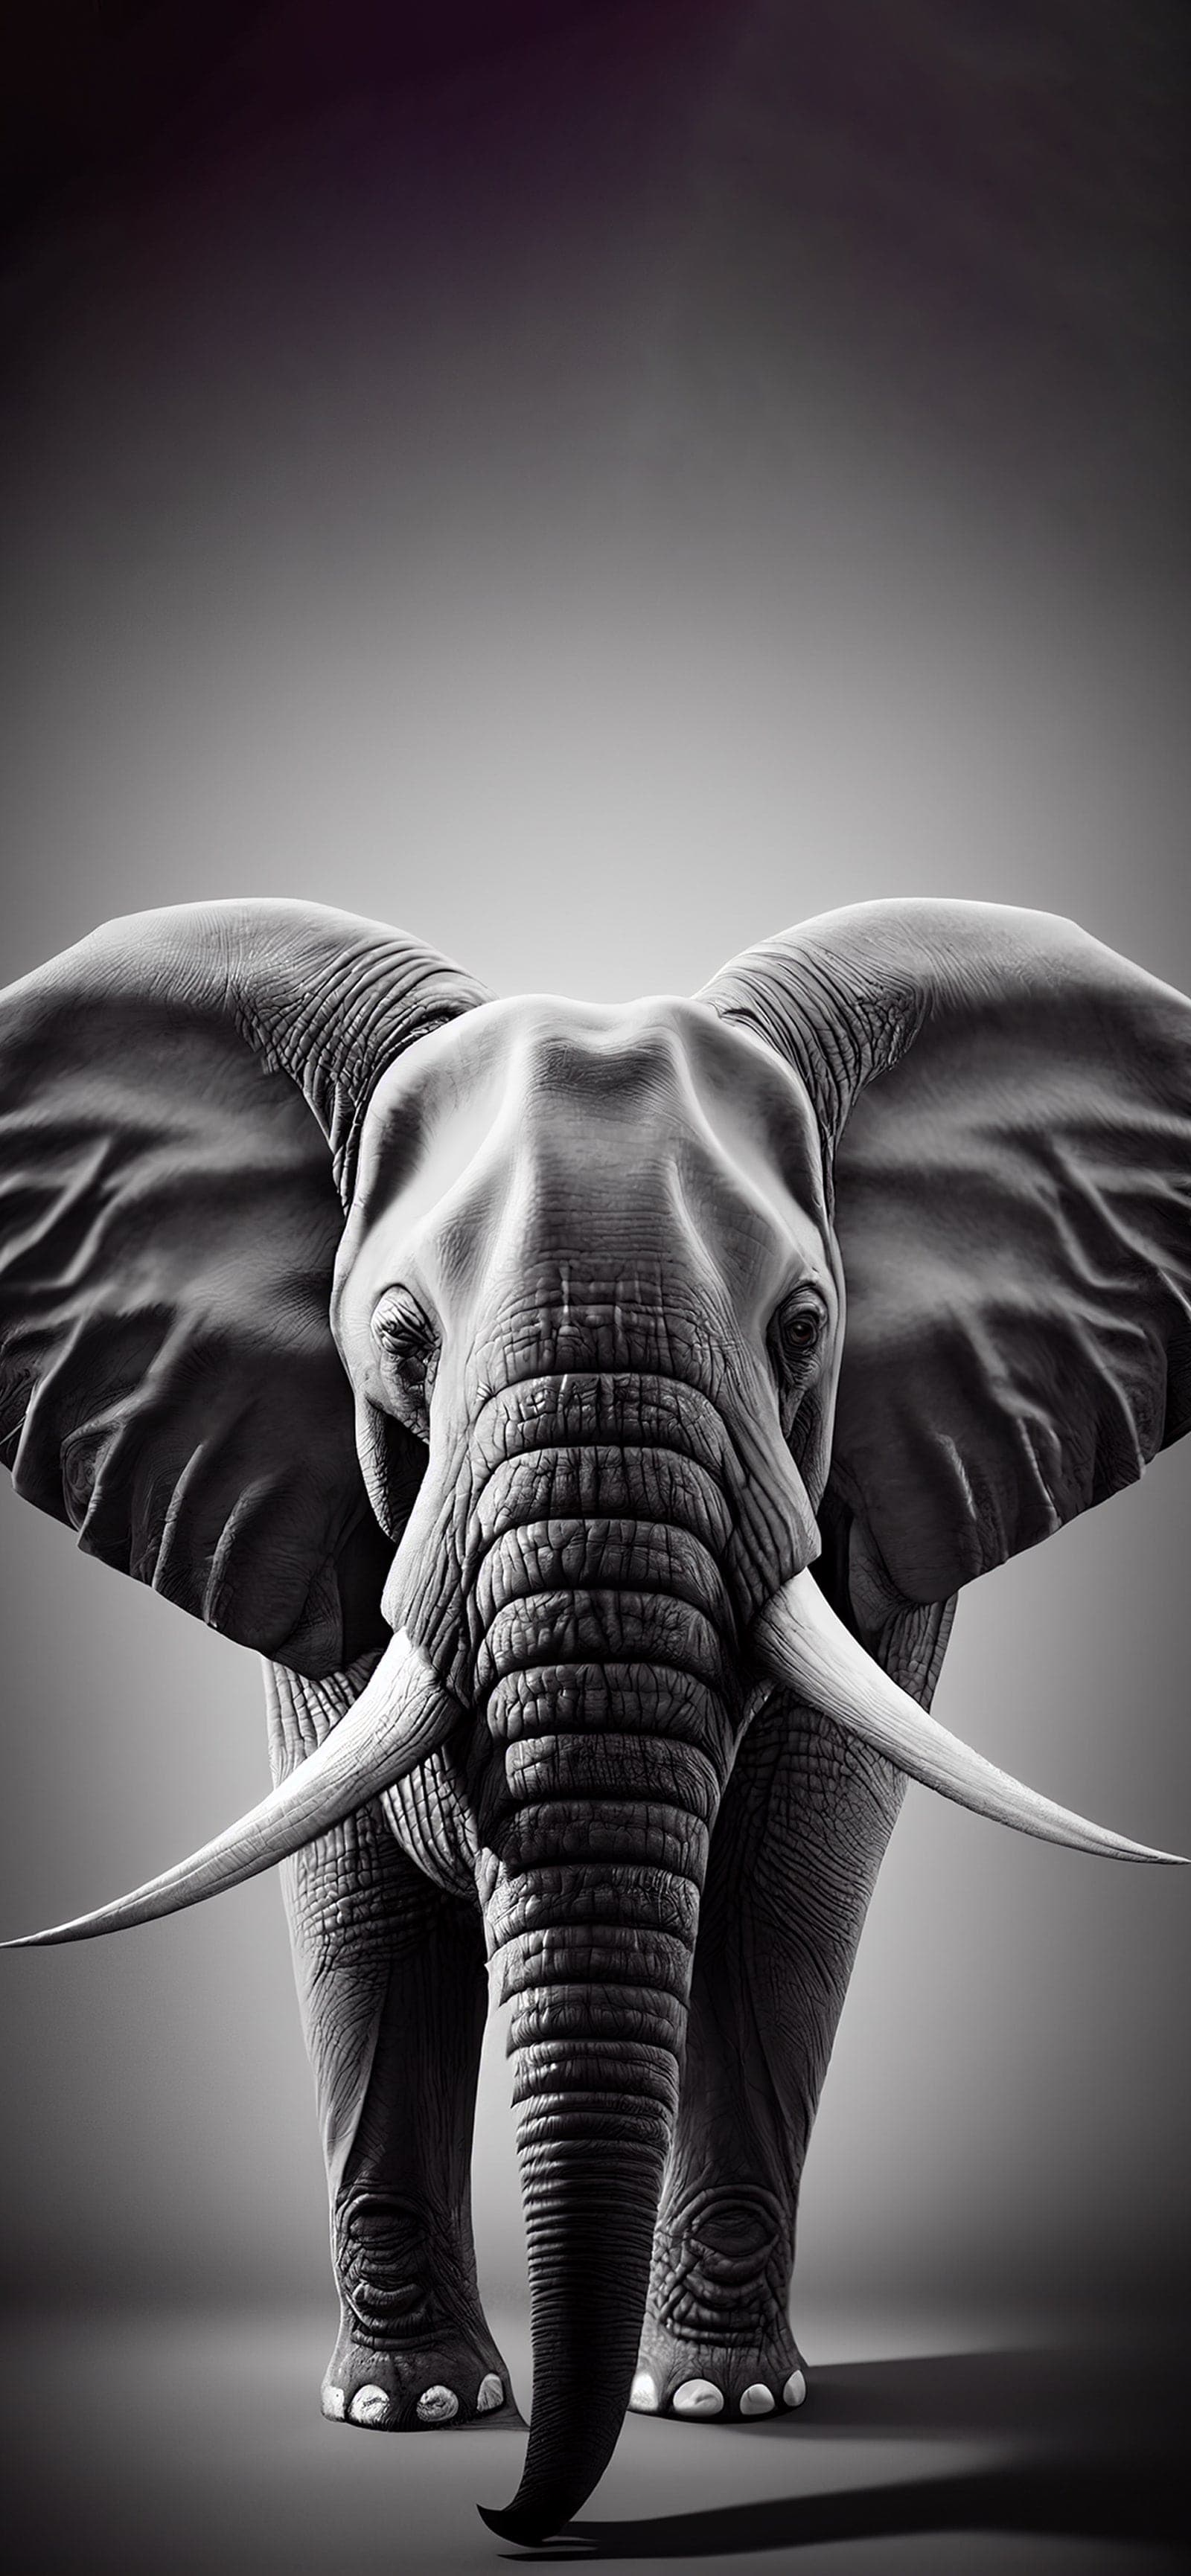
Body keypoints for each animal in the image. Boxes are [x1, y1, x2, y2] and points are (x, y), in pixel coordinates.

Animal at [1, 894, 1188, 2544]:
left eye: (803, 1327)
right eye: (402, 1340)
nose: (502, 2519)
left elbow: (783, 1896)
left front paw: (717, 2403)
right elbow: (360, 1910)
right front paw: (410, 2414)